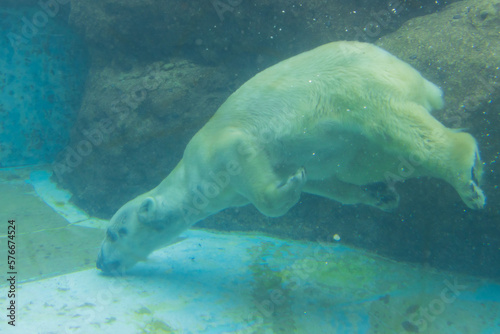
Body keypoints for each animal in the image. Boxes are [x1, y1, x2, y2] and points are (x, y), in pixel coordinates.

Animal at [96, 40, 484, 272]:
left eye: (114, 233)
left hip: (360, 91)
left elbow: (251, 162)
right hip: (363, 132)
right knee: (371, 158)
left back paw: (467, 176)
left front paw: (290, 188)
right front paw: (377, 196)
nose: (100, 262)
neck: (192, 176)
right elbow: (327, 182)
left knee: (402, 131)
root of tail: (416, 77)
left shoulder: (222, 149)